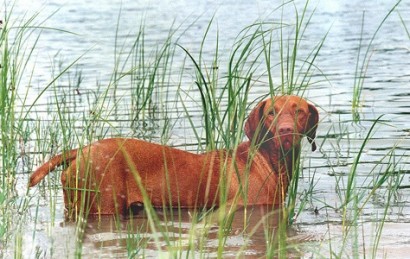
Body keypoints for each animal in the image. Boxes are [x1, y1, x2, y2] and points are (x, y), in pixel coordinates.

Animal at [28, 95, 318, 217]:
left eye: (299, 111)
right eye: (271, 113)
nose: (286, 131)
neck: (267, 161)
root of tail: (82, 150)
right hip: (104, 206)